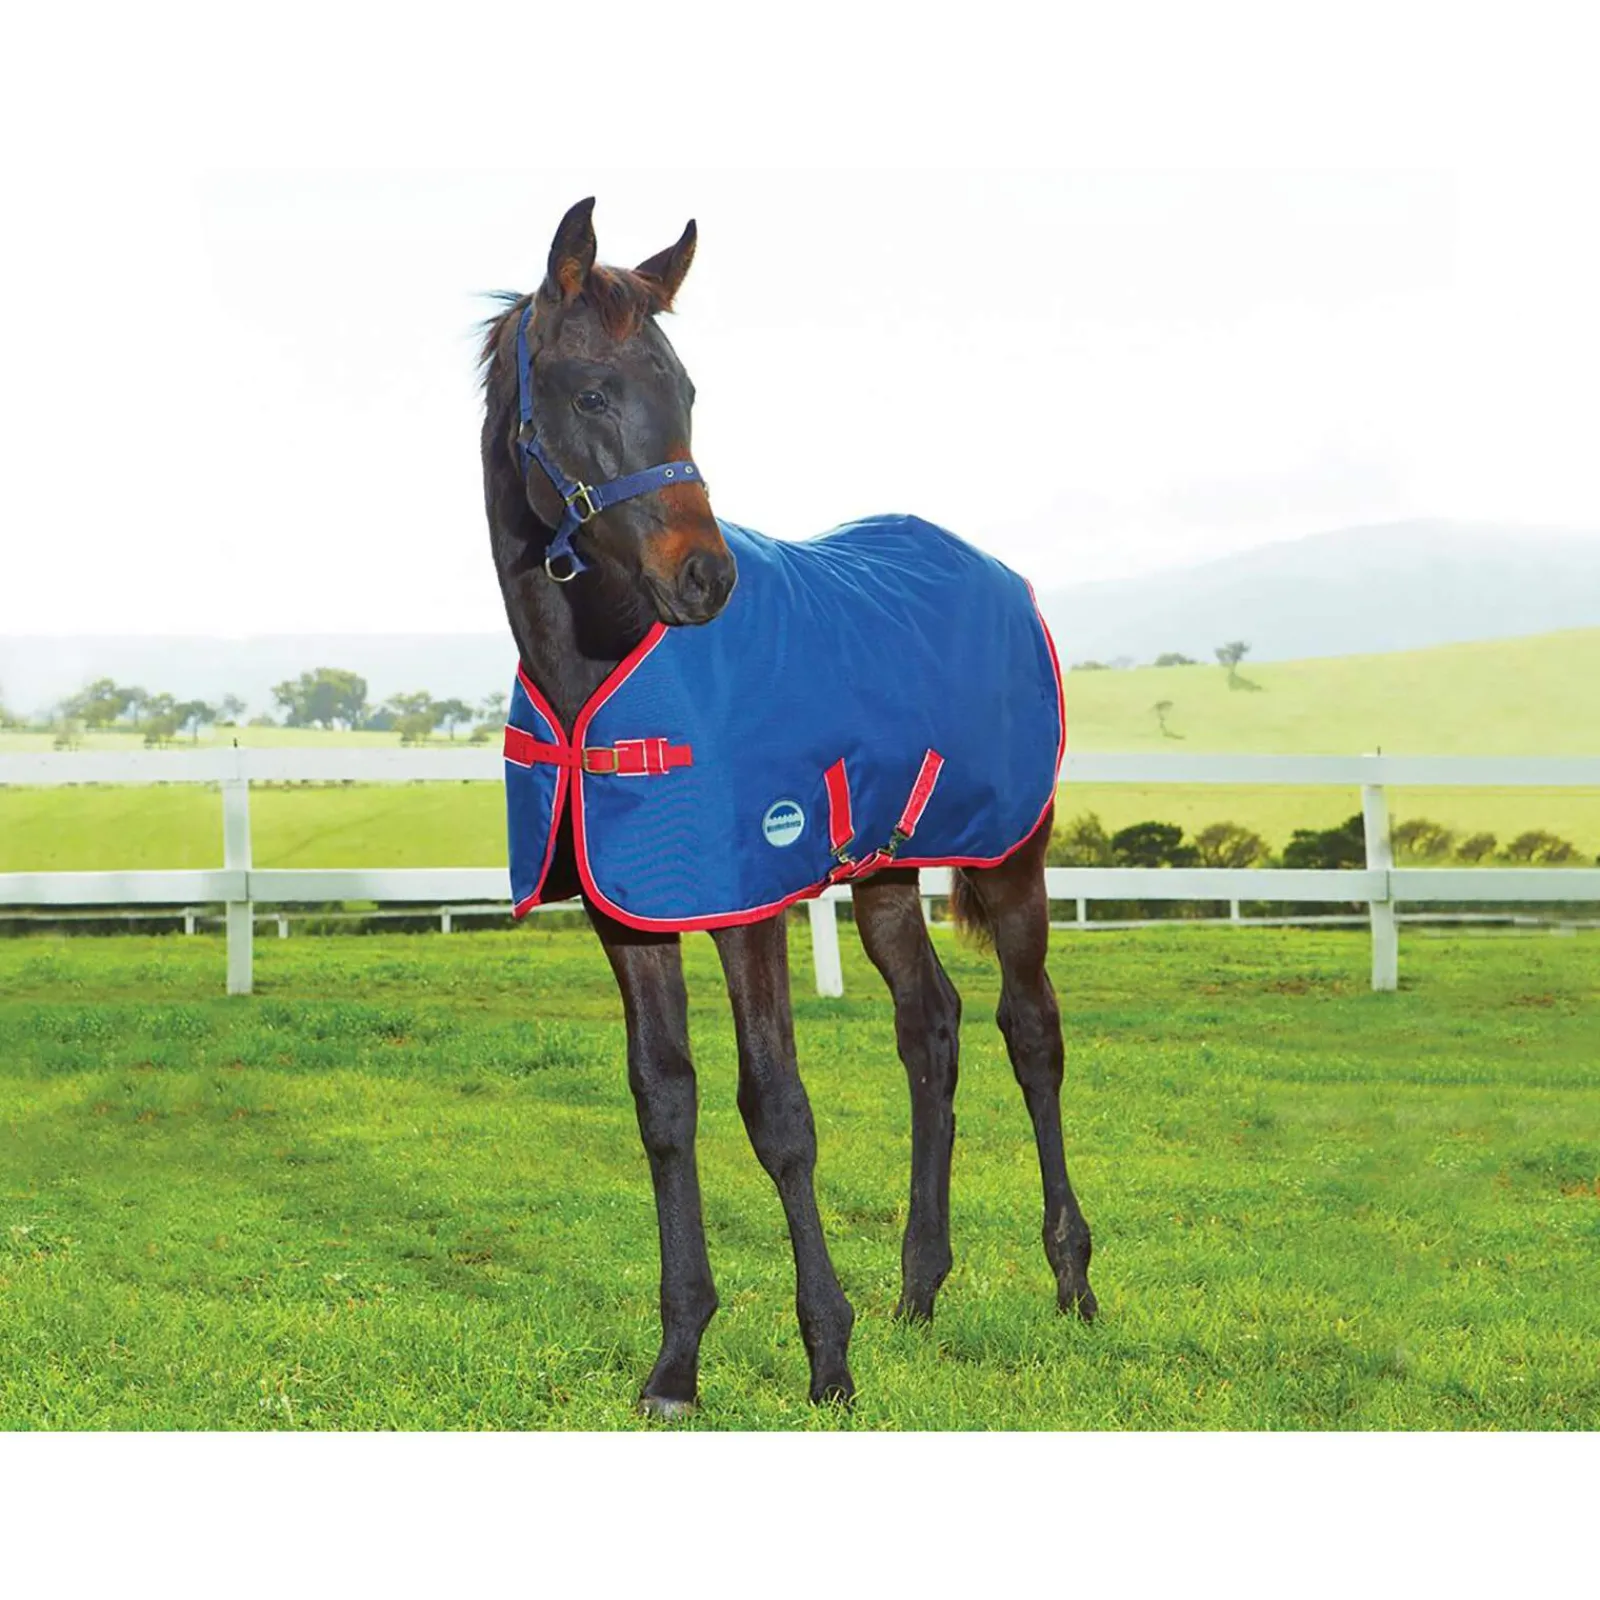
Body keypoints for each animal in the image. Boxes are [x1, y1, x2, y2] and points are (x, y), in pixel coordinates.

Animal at [479, 197, 1095, 1415]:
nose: (706, 579)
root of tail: (1000, 575)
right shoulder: (632, 915)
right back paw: (919, 1289)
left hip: (1012, 857)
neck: (600, 672)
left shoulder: (749, 904)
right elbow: (664, 1105)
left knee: (1030, 1030)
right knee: (930, 1027)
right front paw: (677, 1364)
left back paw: (1072, 1280)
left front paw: (827, 1358)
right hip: (888, 873)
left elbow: (777, 1111)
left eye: (687, 389)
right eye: (591, 393)